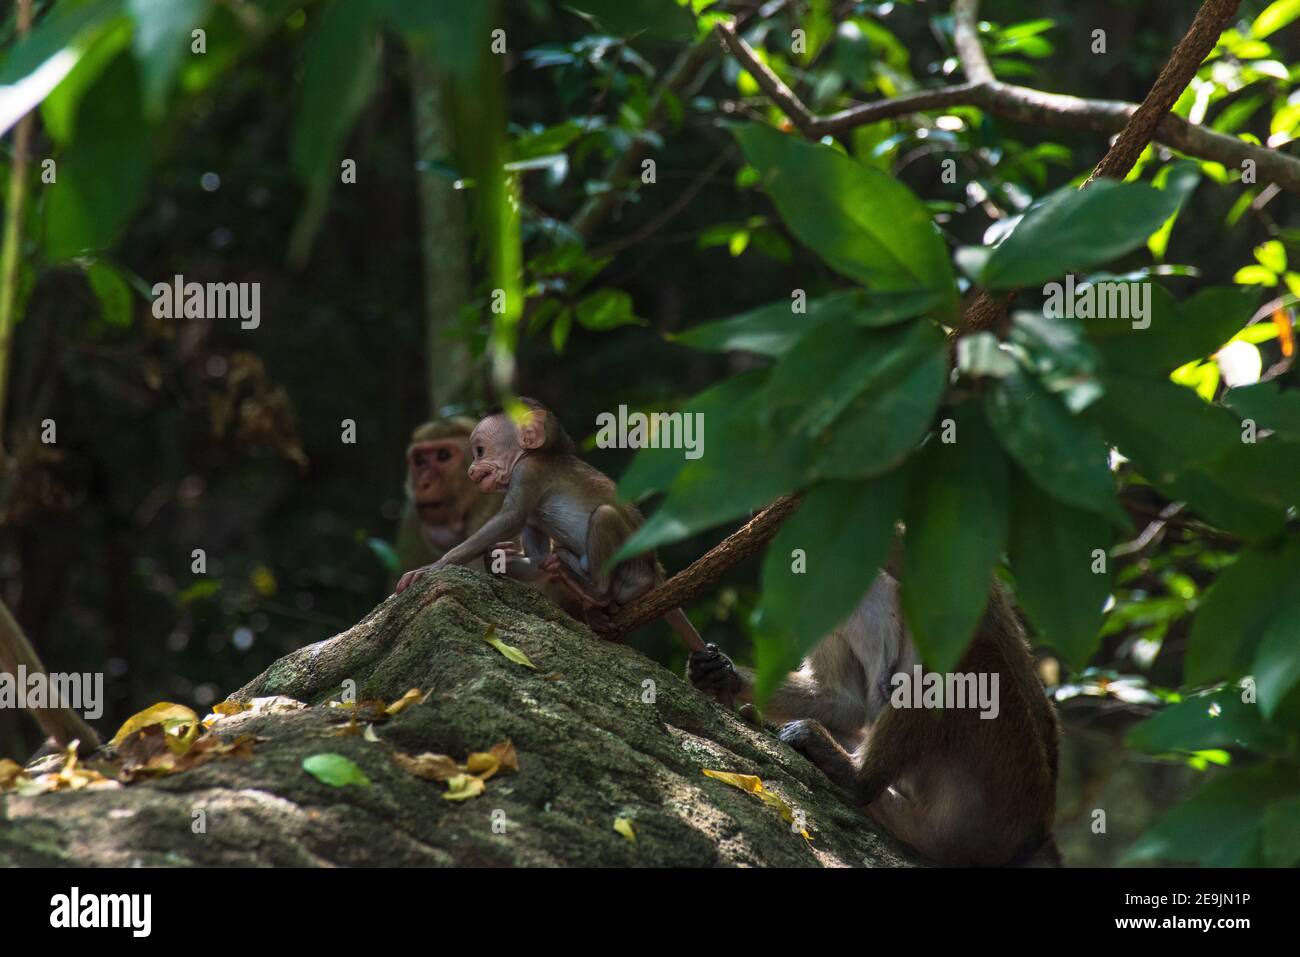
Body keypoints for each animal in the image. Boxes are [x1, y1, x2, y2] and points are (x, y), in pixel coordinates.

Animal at [392, 397, 712, 657]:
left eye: (480, 450)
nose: (471, 470)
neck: (532, 455)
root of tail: (656, 571)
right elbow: (537, 559)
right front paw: (499, 559)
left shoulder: (529, 473)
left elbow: (511, 518)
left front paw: (433, 567)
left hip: (634, 572)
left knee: (604, 515)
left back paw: (596, 593)